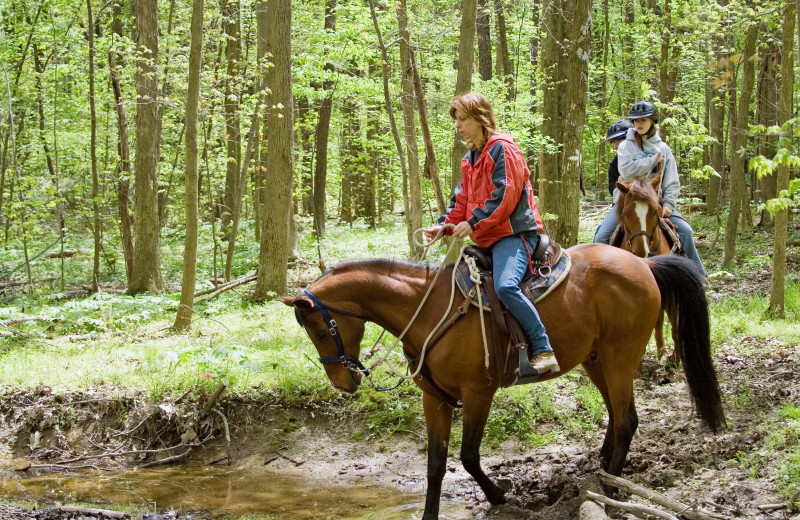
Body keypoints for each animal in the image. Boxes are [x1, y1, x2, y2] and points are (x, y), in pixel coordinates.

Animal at [282, 245, 724, 520]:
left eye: (320, 330)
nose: (344, 382)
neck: (429, 311)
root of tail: (643, 265)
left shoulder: (479, 393)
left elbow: (468, 457)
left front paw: (498, 495)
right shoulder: (434, 400)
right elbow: (435, 464)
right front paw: (429, 513)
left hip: (619, 357)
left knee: (628, 418)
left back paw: (612, 487)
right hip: (595, 359)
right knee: (617, 417)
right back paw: (601, 470)